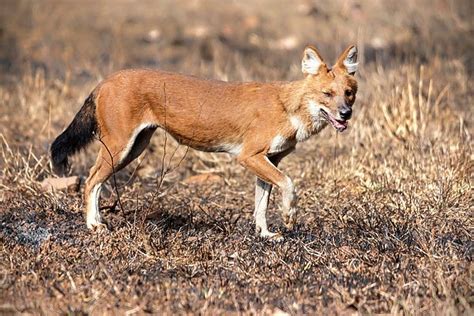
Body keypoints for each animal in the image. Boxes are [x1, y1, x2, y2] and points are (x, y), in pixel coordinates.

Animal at [51, 44, 356, 241]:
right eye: (327, 94)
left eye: (349, 93)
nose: (346, 114)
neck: (287, 107)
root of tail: (106, 80)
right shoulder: (249, 156)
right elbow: (289, 185)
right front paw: (289, 214)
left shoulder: (269, 160)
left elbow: (261, 205)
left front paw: (266, 234)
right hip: (119, 149)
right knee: (91, 180)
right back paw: (93, 224)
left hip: (133, 149)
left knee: (96, 180)